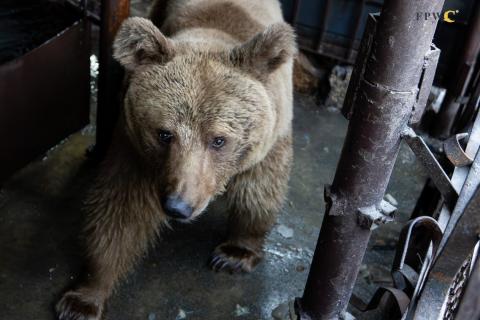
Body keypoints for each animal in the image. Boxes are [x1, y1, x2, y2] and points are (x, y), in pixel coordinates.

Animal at [56, 1, 296, 318]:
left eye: (219, 139)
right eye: (164, 134)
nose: (178, 206)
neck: (214, 33)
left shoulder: (270, 139)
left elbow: (259, 191)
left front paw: (234, 254)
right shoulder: (137, 150)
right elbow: (120, 214)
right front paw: (82, 299)